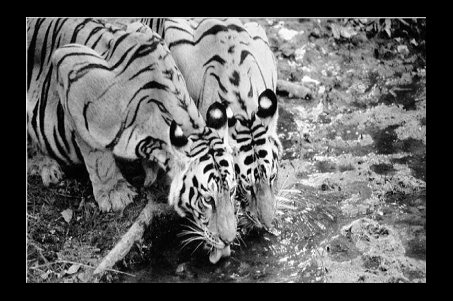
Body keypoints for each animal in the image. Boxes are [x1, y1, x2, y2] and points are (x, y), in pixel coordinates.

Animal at [25, 18, 237, 262]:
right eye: (208, 200)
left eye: (232, 191)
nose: (230, 239)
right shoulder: (68, 65)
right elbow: (95, 153)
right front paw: (115, 194)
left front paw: (151, 174)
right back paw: (45, 166)